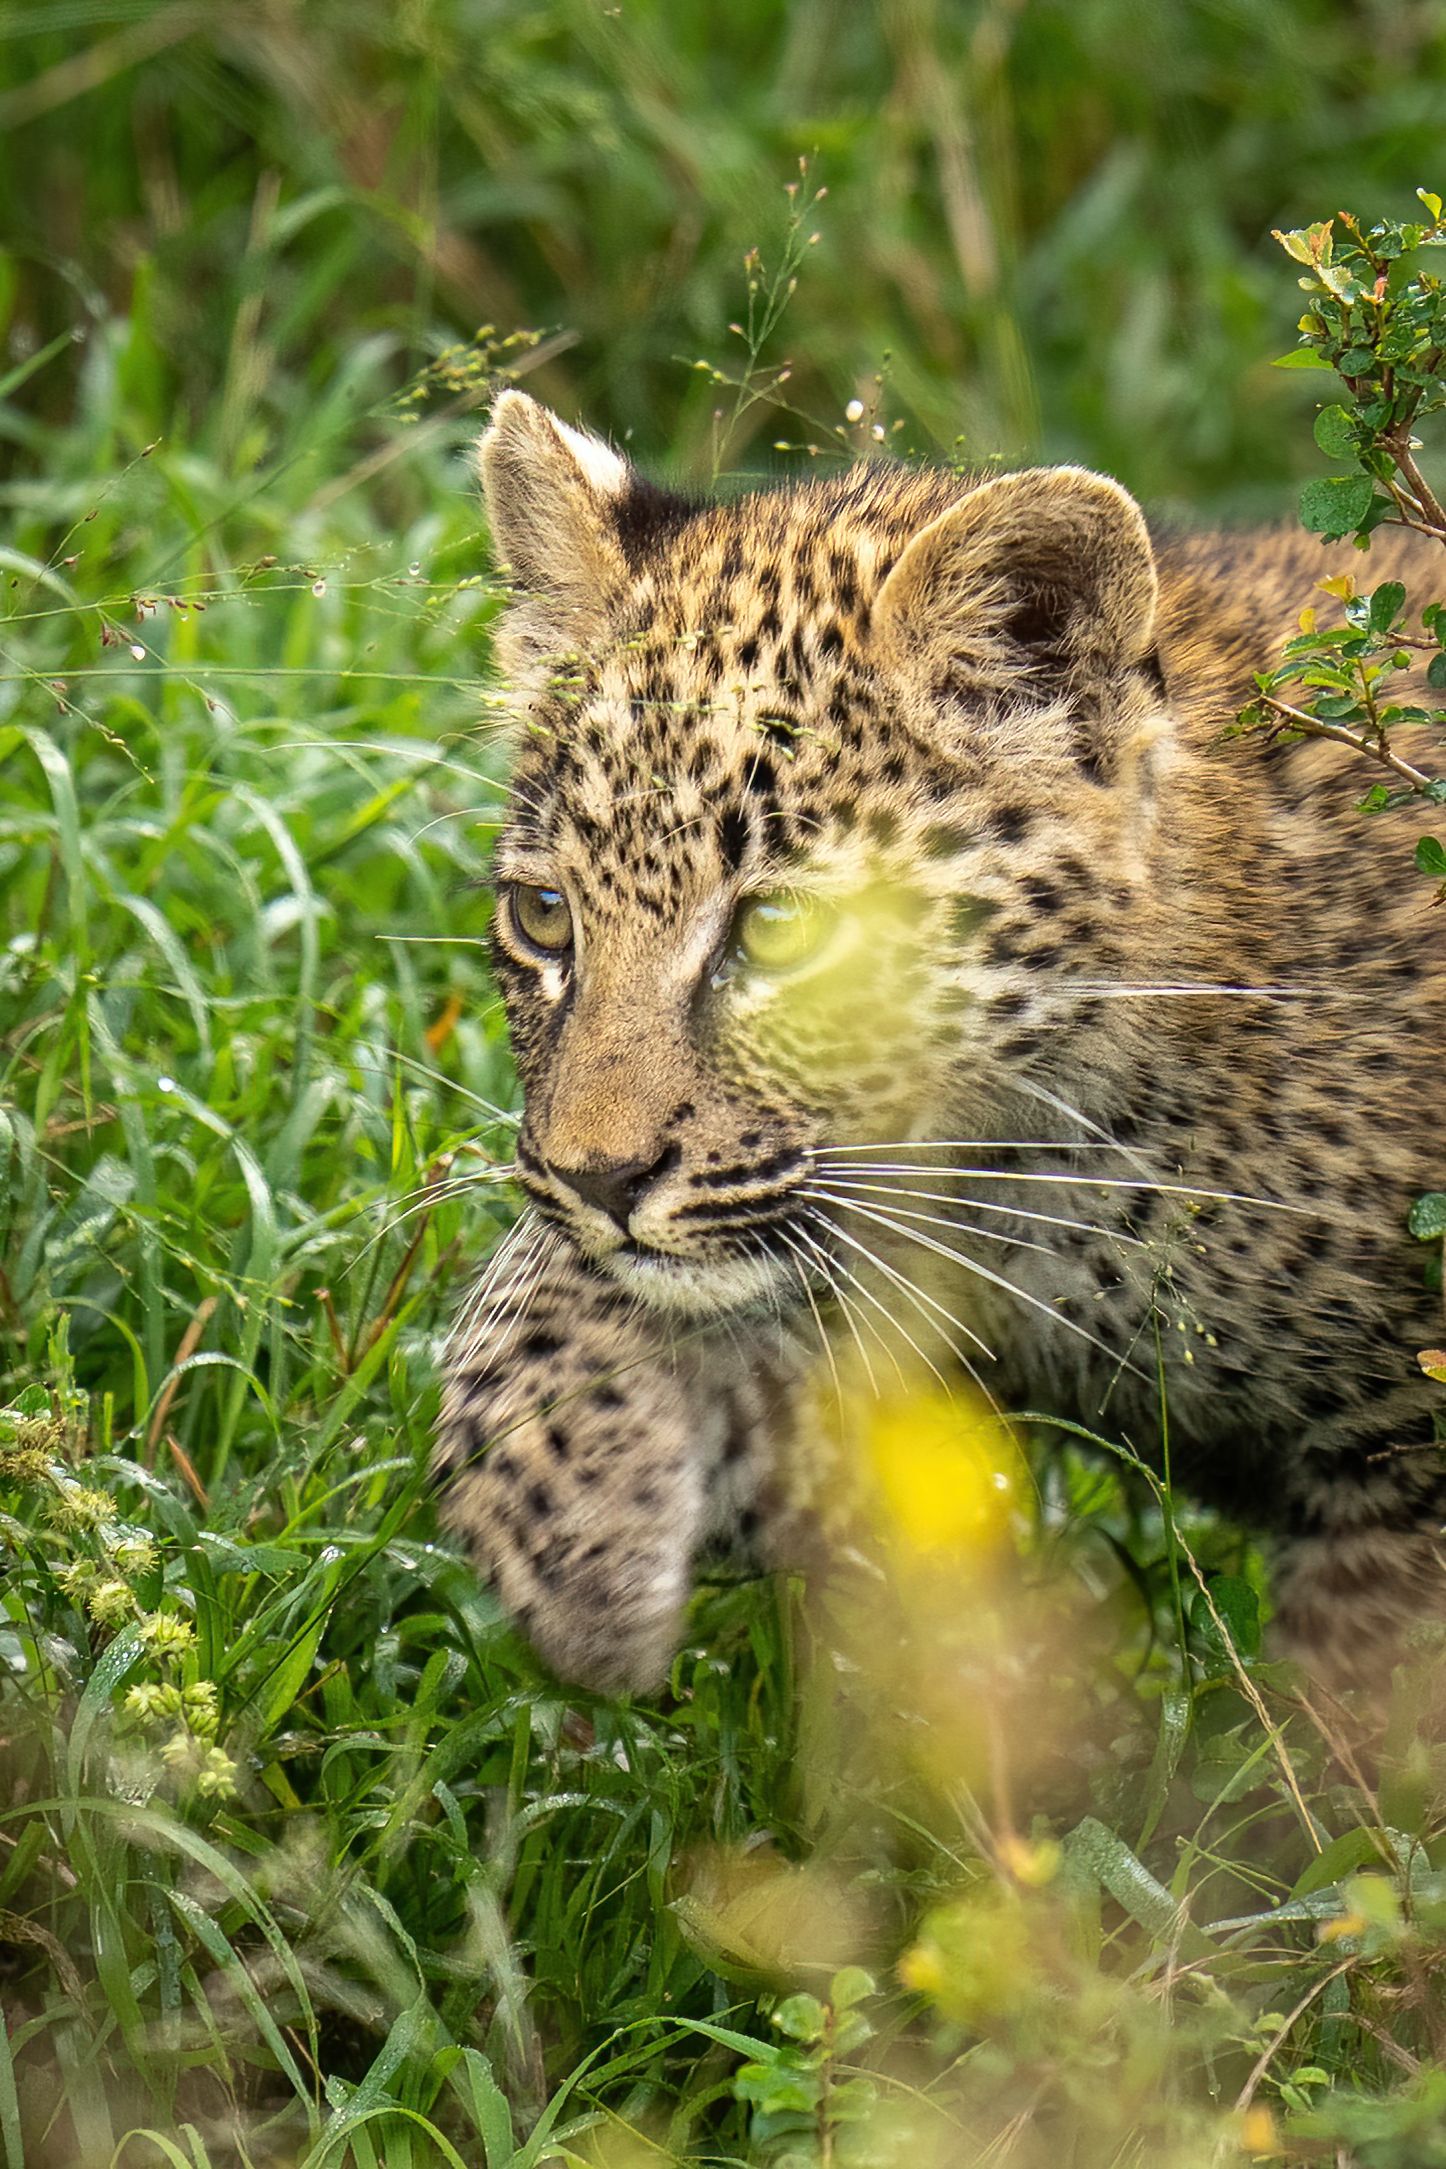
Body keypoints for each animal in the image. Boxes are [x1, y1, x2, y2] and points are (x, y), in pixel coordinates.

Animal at [432, 388, 1445, 1696]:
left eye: (781, 930)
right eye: (545, 917)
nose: (597, 1180)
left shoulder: (1403, 1454)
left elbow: (1369, 1699)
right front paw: (565, 1527)